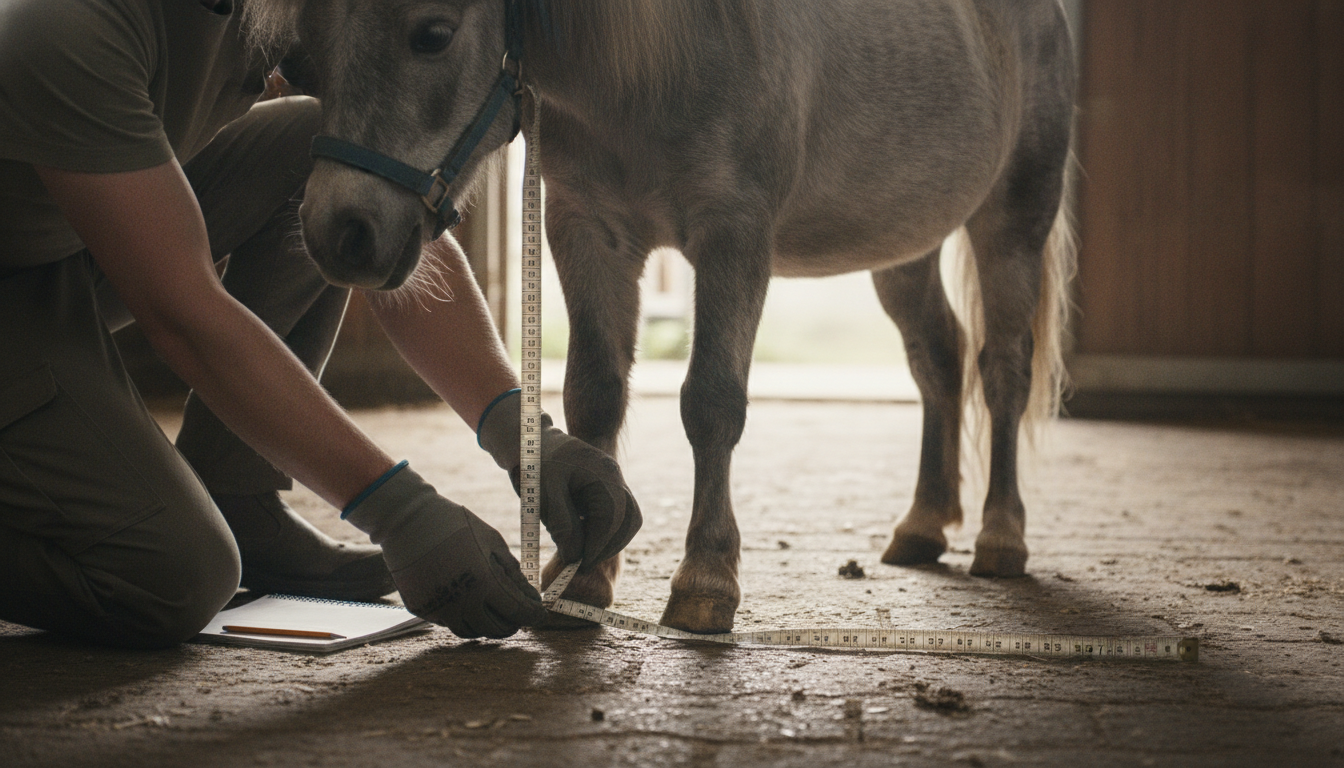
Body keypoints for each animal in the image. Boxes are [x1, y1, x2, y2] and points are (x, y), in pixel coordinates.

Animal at [256, 0, 1078, 634]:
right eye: (301, 57)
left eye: (432, 32)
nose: (340, 233)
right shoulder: (587, 230)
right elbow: (593, 393)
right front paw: (583, 570)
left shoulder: (733, 234)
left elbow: (712, 402)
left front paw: (705, 581)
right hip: (903, 244)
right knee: (938, 358)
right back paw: (924, 524)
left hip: (1012, 220)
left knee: (1003, 368)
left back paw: (1002, 536)